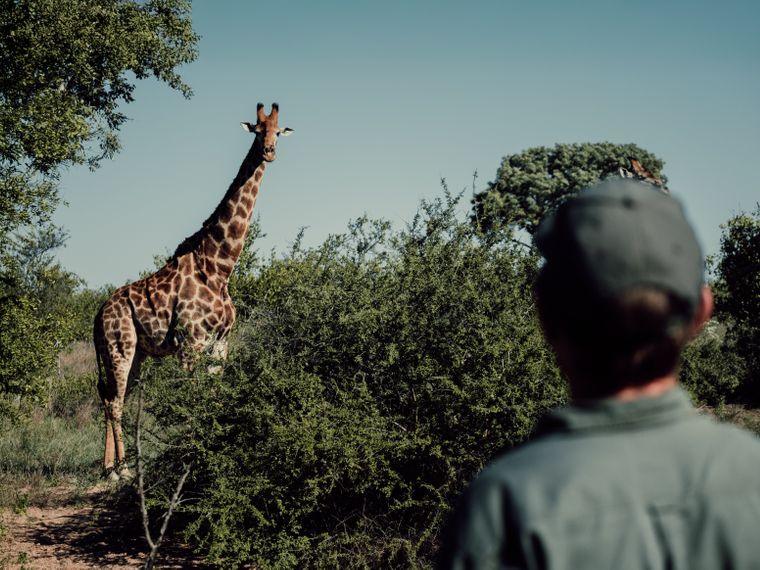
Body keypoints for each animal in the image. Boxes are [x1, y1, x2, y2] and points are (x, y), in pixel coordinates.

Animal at [94, 102, 293, 480]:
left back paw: (109, 467)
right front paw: (189, 457)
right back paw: (122, 470)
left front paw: (209, 453)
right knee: (114, 401)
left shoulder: (221, 341)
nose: (270, 152)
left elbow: (213, 396)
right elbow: (191, 399)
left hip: (135, 353)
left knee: (112, 397)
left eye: (278, 131)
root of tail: (96, 317)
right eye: (257, 131)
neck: (219, 266)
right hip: (119, 346)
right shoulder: (191, 341)